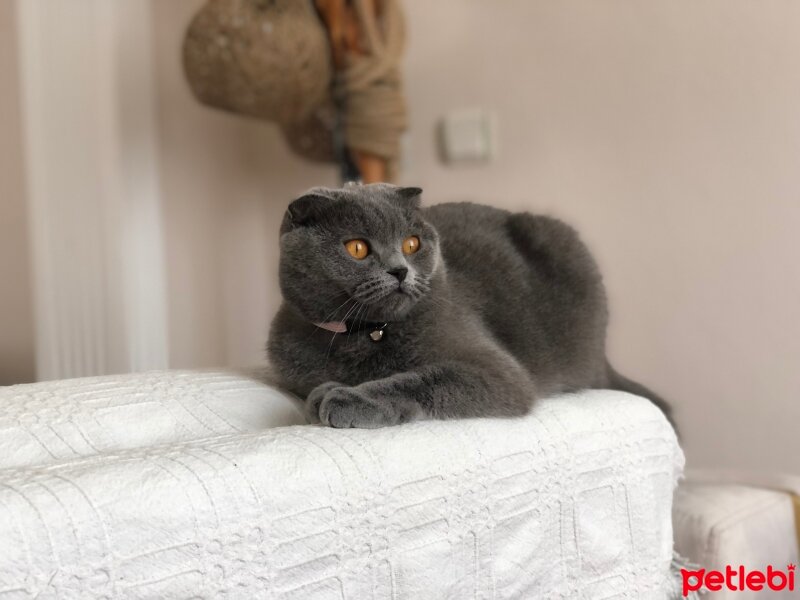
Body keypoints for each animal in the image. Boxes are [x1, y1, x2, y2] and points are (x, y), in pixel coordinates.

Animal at [268, 182, 668, 426]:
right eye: (357, 248)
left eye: (412, 243)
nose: (400, 270)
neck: (362, 334)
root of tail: (603, 359)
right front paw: (328, 392)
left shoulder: (496, 371)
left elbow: (419, 379)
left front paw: (346, 398)